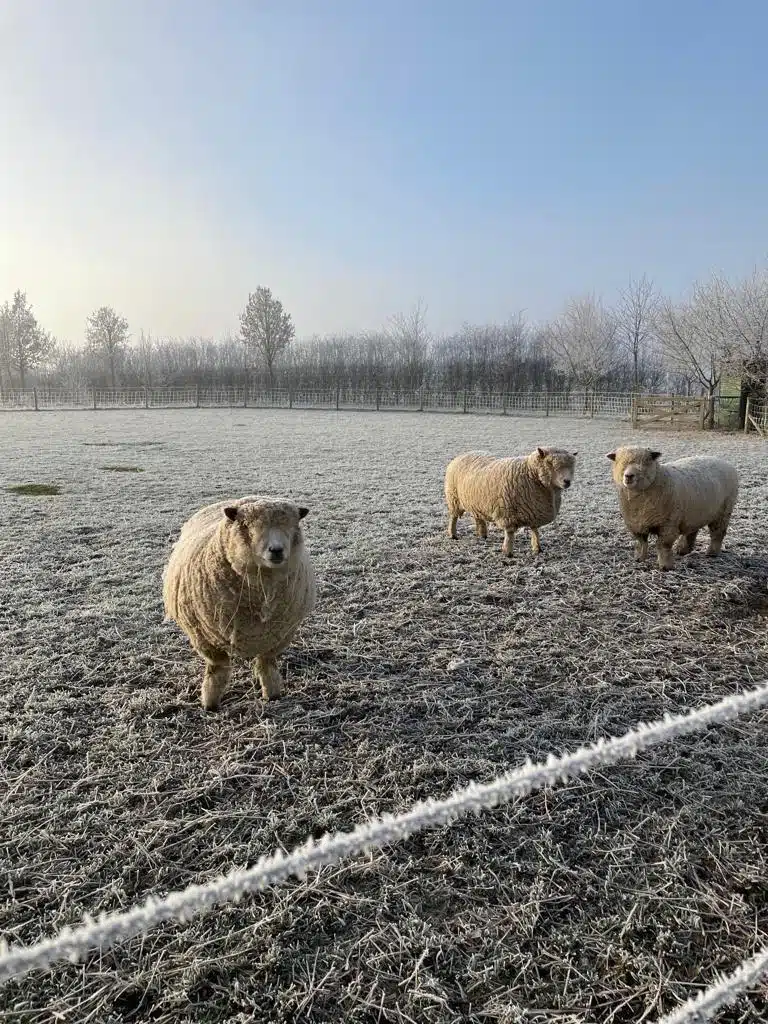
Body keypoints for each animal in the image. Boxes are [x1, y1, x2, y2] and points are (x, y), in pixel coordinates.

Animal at [162, 495, 316, 710]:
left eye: (294, 524)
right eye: (245, 525)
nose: (276, 550)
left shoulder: (281, 634)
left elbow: (267, 664)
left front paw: (272, 695)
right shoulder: (202, 637)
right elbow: (218, 669)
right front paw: (210, 704)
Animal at [444, 447, 577, 557]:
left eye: (572, 466)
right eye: (549, 463)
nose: (567, 481)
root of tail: (463, 454)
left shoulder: (534, 510)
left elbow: (535, 530)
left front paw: (537, 548)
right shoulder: (508, 513)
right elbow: (510, 533)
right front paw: (508, 552)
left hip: (476, 502)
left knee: (478, 518)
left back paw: (482, 535)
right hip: (454, 498)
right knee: (453, 517)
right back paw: (453, 535)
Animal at [606, 446, 739, 570]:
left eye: (645, 462)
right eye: (619, 461)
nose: (629, 476)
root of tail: (724, 461)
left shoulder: (668, 524)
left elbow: (662, 545)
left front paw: (665, 566)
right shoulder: (636, 524)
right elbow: (641, 542)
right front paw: (639, 559)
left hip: (723, 512)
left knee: (718, 533)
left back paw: (712, 553)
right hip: (693, 512)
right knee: (692, 530)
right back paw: (683, 550)